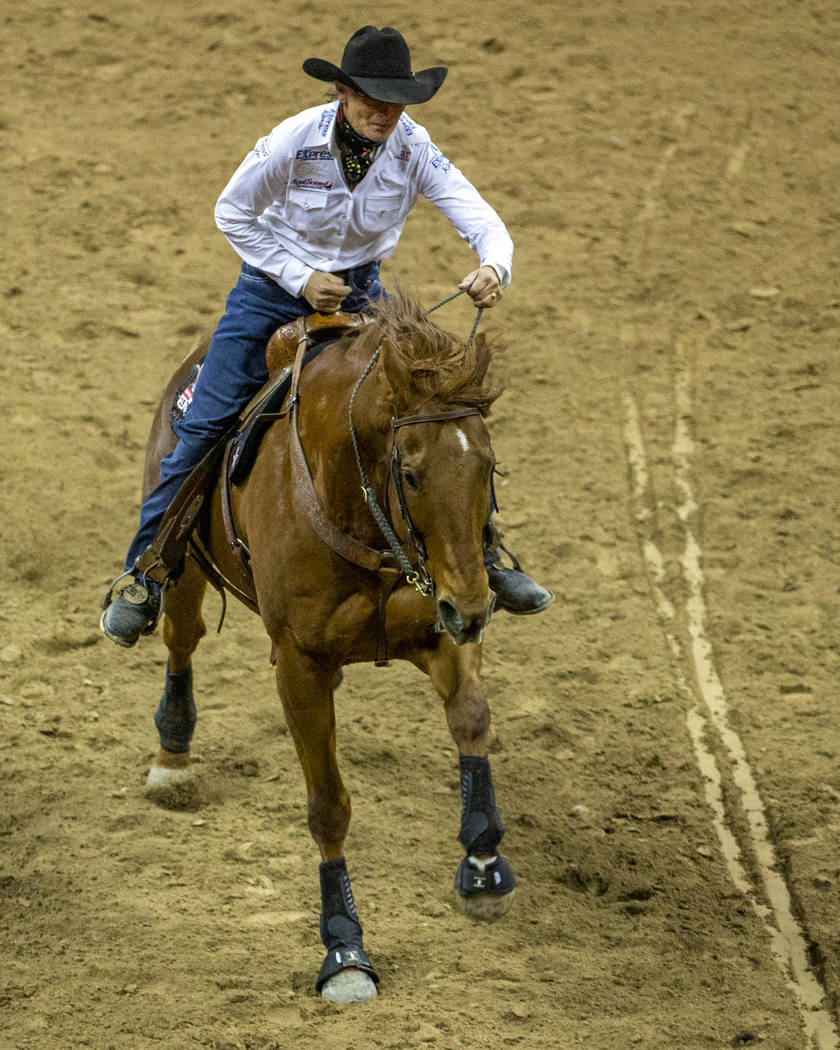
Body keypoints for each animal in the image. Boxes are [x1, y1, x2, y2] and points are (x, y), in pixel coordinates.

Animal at [141, 287, 514, 999]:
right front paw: (345, 950)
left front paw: (484, 864)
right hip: (184, 566)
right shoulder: (299, 664)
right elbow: (328, 807)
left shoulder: (440, 621)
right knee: (182, 636)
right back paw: (171, 757)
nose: (476, 608)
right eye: (411, 473)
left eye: (488, 467)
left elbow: (472, 719)